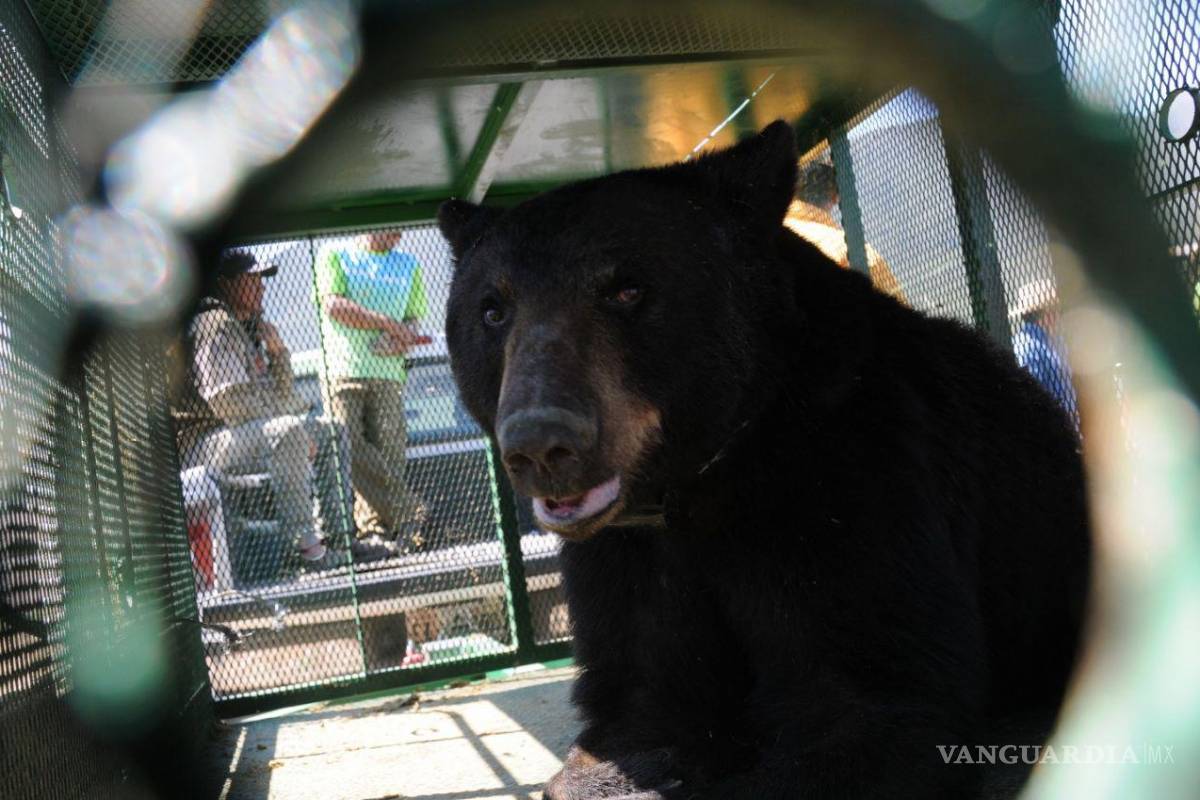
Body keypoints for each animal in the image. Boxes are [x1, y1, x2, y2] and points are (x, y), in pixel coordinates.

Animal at [437, 120, 1091, 799]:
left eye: (628, 288)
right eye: (492, 309)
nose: (541, 442)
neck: (696, 478)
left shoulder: (847, 477)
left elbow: (873, 698)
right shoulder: (627, 556)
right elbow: (642, 702)